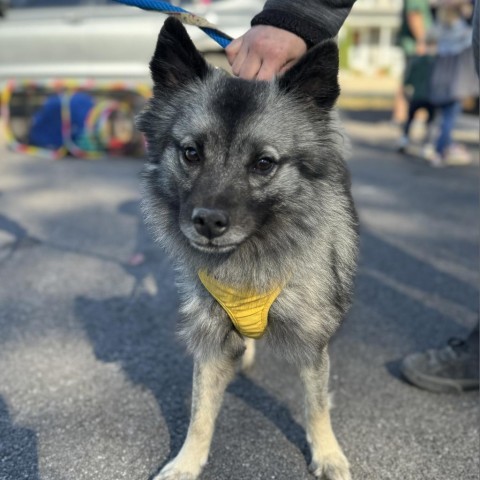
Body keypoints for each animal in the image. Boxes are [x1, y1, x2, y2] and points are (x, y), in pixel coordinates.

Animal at [137, 17, 358, 480]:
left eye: (263, 163)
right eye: (191, 153)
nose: (207, 222)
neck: (249, 259)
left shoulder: (312, 345)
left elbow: (316, 406)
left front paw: (328, 454)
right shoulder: (211, 339)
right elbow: (200, 413)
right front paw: (186, 463)